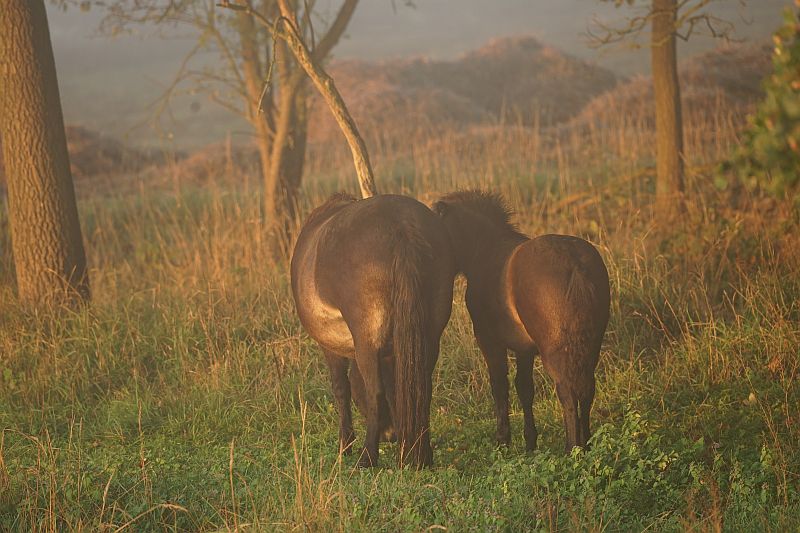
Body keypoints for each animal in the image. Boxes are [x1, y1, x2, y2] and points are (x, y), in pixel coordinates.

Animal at [292, 192, 456, 466]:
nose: (390, 434)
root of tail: (402, 226)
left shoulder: (330, 348)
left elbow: (342, 389)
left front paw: (345, 446)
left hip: (367, 345)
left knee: (375, 392)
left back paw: (368, 456)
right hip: (429, 340)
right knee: (421, 388)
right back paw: (419, 453)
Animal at [434, 190, 608, 448]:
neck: (485, 250)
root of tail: (575, 265)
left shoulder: (489, 342)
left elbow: (500, 386)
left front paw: (502, 441)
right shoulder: (524, 348)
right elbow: (525, 389)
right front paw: (530, 442)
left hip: (556, 353)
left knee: (568, 392)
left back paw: (572, 448)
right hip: (591, 347)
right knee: (587, 390)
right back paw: (585, 444)